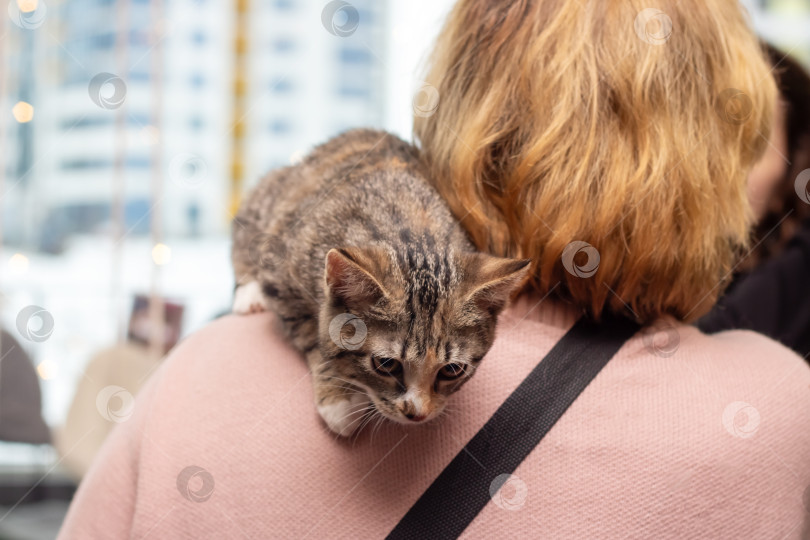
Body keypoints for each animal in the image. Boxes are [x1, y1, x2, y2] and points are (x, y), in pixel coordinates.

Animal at [230, 129, 528, 436]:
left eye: (452, 370)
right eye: (385, 364)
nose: (417, 413)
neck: (413, 237)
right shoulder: (281, 270)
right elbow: (309, 331)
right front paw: (339, 396)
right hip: (274, 197)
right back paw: (248, 292)